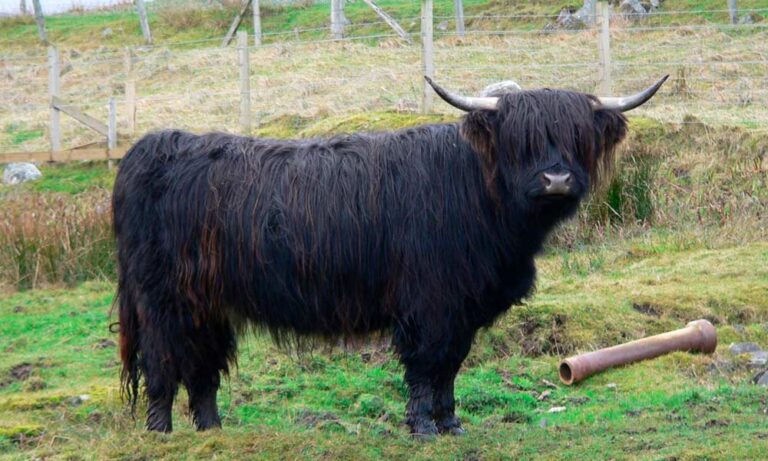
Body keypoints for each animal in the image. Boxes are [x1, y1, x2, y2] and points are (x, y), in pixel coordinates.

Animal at [113, 75, 667, 435]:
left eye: (578, 136)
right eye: (521, 140)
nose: (556, 178)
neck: (479, 194)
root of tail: (153, 147)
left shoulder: (461, 309)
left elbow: (450, 367)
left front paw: (451, 424)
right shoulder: (430, 305)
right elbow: (426, 367)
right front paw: (423, 427)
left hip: (206, 303)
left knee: (202, 366)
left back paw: (212, 430)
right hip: (161, 300)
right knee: (162, 362)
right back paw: (161, 431)